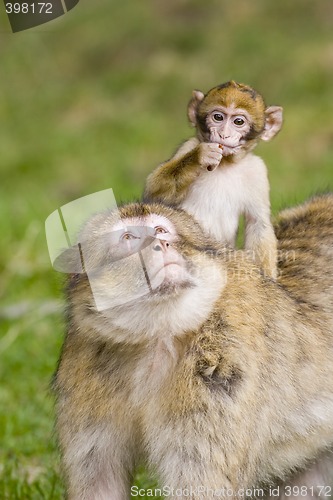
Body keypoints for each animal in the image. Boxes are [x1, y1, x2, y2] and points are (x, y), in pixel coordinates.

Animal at [144, 80, 282, 280]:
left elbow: (258, 223)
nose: (223, 134)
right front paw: (200, 157)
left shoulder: (257, 171)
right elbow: (153, 197)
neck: (225, 163)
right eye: (218, 117)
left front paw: (268, 281)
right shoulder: (189, 146)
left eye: (238, 121)